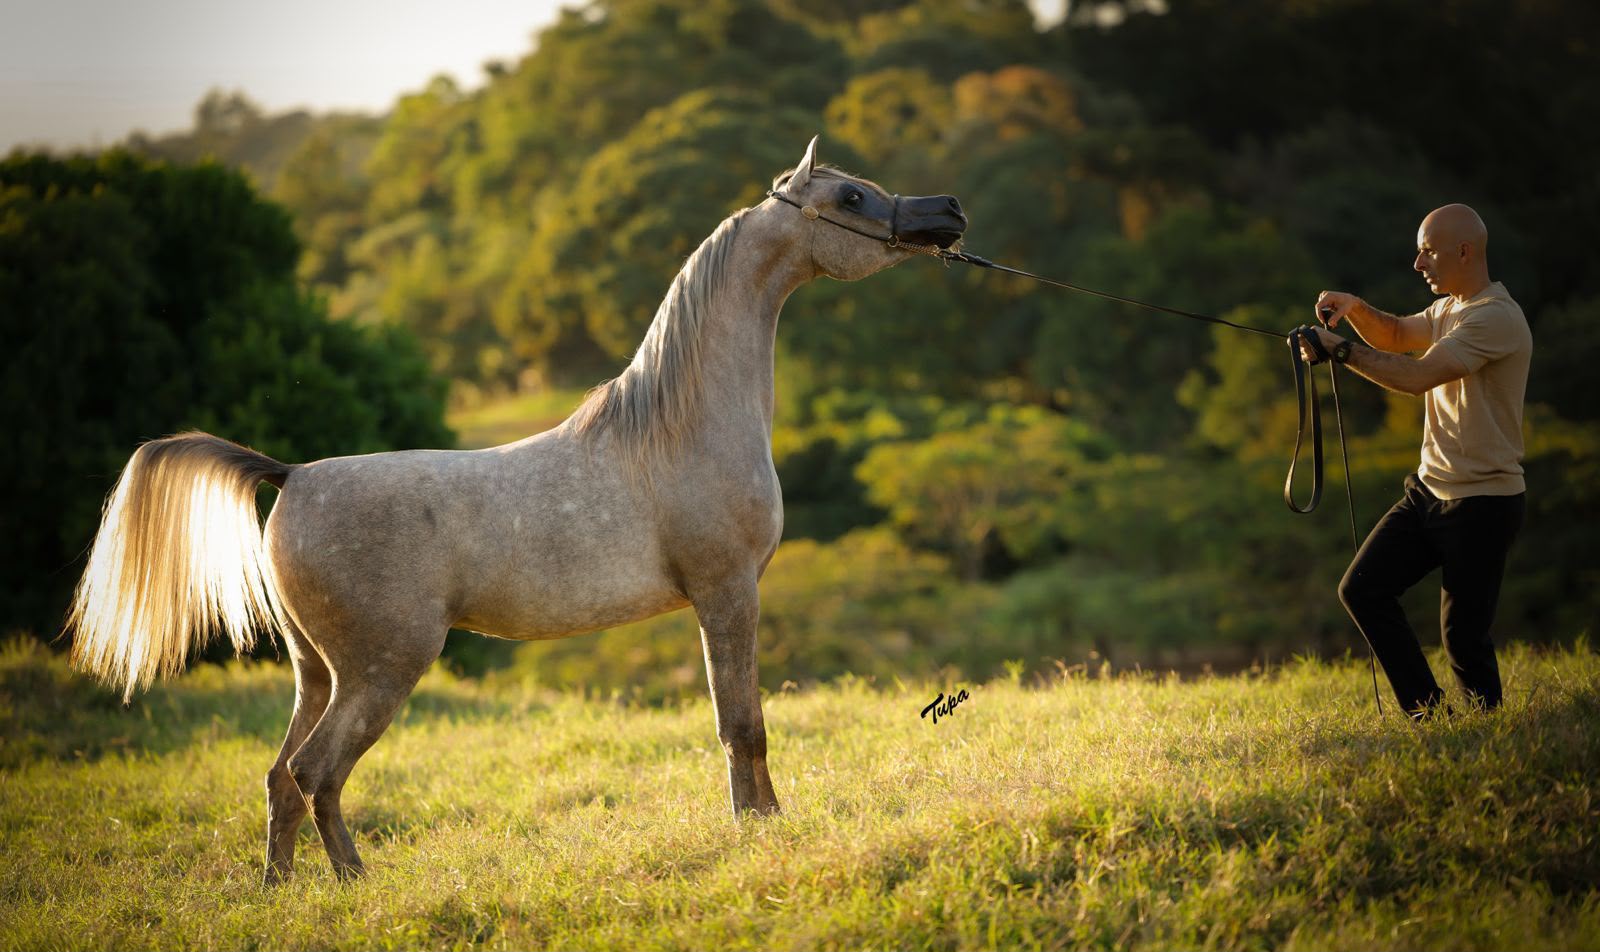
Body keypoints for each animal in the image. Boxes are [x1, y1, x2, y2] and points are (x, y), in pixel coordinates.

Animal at [65, 136, 968, 883]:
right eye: (850, 196)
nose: (948, 213)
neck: (675, 428)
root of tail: (290, 477)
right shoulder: (726, 593)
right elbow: (741, 723)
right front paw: (761, 829)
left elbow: (739, 721)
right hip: (381, 668)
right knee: (316, 772)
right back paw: (356, 882)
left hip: (315, 672)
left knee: (280, 777)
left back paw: (282, 890)